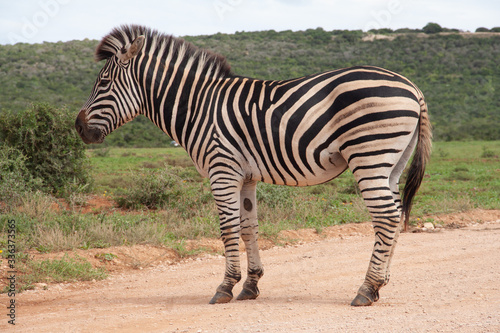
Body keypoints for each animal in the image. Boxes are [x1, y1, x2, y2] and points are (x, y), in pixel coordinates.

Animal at [76, 25, 432, 306]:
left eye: (103, 83)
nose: (78, 128)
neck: (198, 107)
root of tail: (411, 86)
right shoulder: (245, 176)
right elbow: (249, 227)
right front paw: (251, 285)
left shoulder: (222, 170)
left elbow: (228, 227)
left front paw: (225, 286)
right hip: (391, 164)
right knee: (394, 214)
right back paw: (380, 284)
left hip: (369, 156)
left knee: (386, 218)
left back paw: (366, 289)